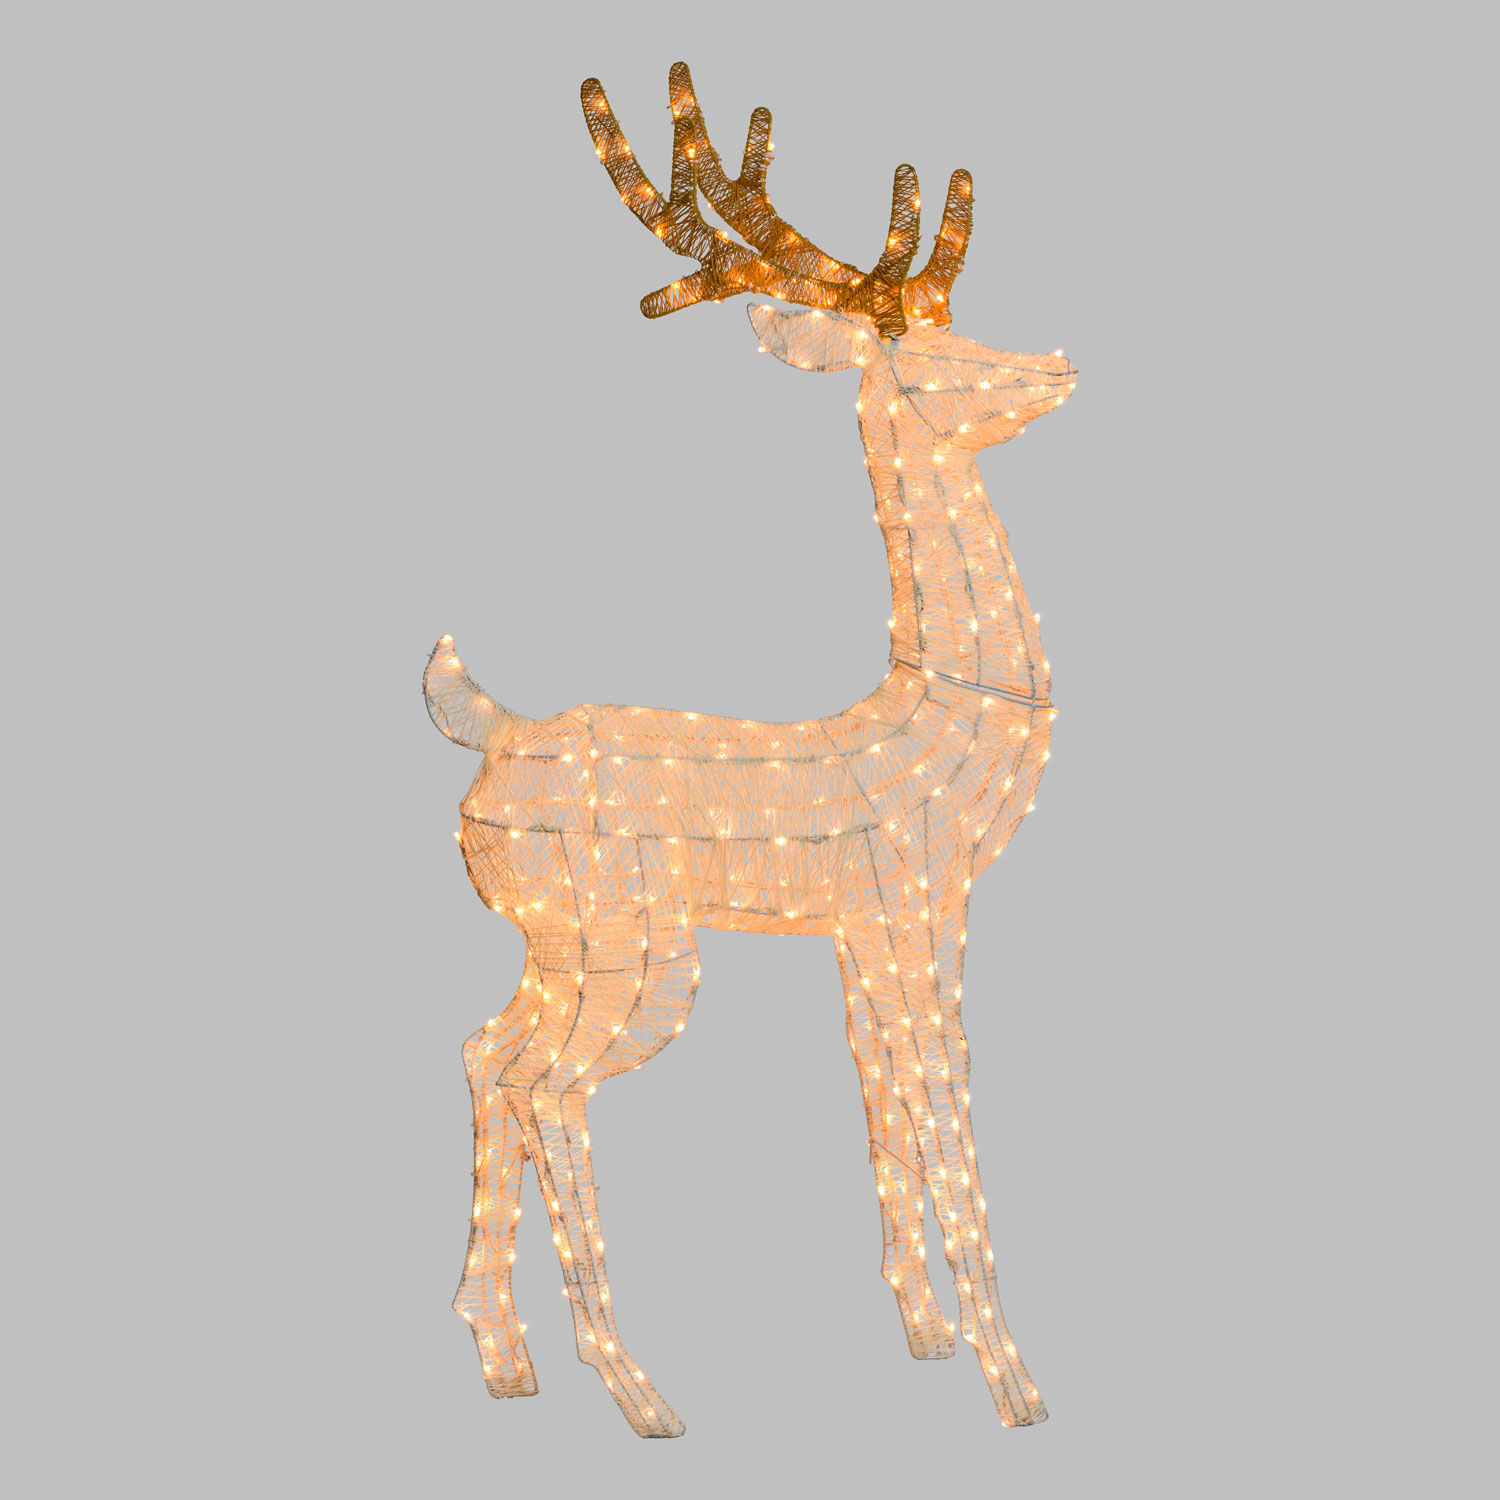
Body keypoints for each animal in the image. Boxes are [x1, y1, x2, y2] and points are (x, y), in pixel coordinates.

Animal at [425, 62, 1076, 1438]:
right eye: (910, 339)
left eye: (953, 311)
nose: (1054, 363)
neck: (943, 709)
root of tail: (485, 727)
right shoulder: (917, 908)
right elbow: (947, 1095)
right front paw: (1014, 1384)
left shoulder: (860, 932)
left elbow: (882, 1094)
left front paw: (926, 1337)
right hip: (634, 956)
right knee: (544, 1084)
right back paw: (638, 1391)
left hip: (559, 948)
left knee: (483, 1055)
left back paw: (506, 1360)